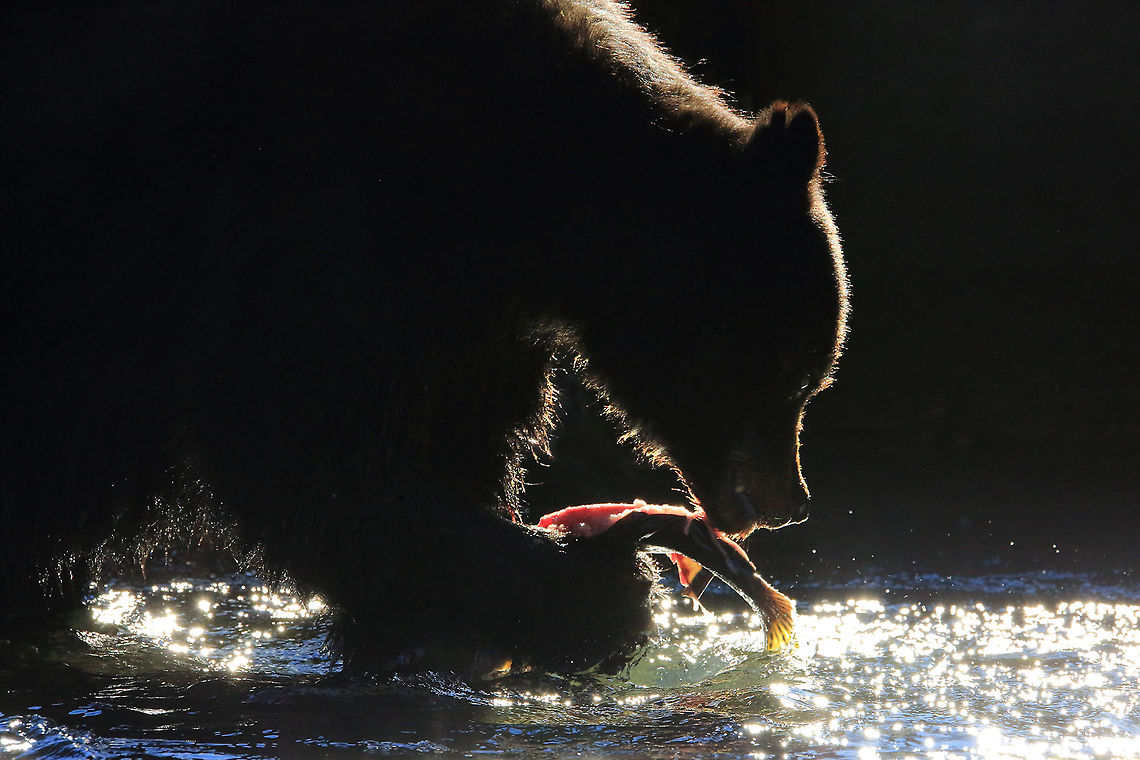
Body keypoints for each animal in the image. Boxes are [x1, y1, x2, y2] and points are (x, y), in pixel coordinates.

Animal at [0, 0, 848, 677]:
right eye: (792, 376)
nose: (795, 501)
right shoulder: (325, 207)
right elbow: (299, 441)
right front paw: (583, 593)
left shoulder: (472, 317)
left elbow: (452, 446)